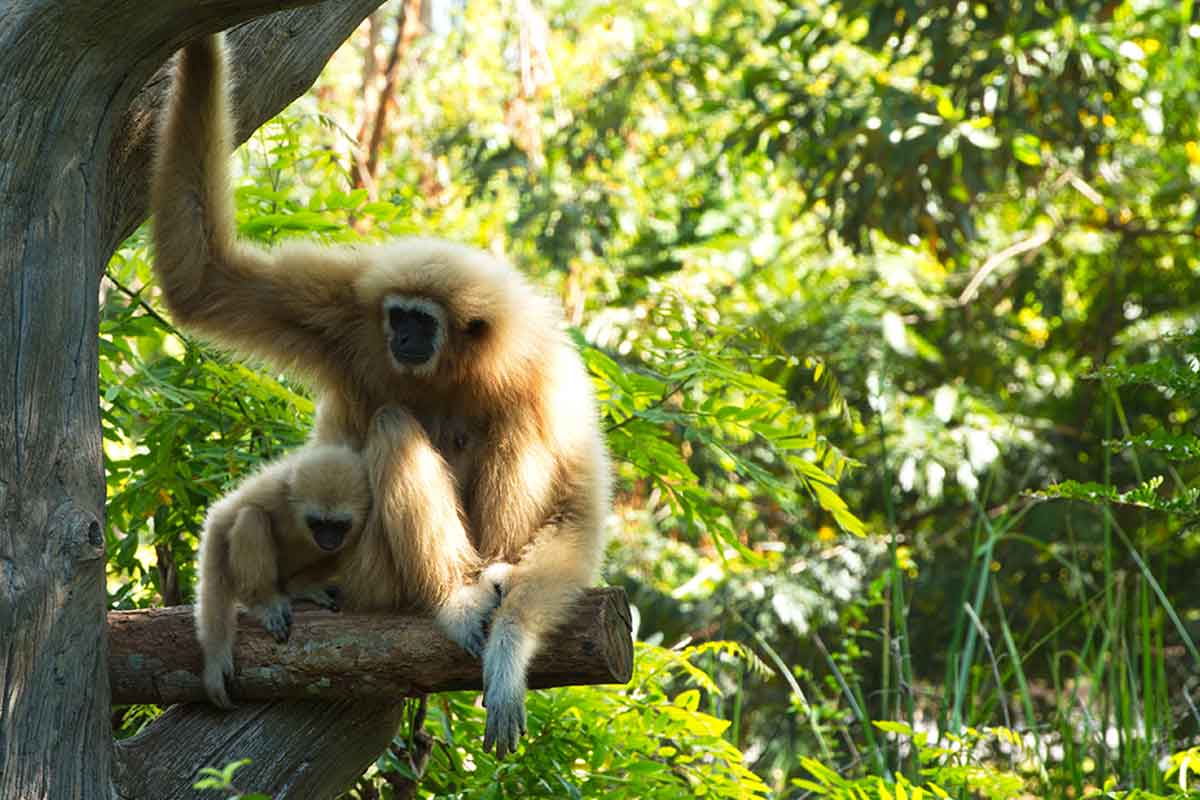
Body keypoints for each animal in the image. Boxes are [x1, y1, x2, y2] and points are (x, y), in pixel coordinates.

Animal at [195, 443, 371, 709]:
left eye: (339, 525)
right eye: (317, 523)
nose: (329, 540)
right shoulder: (275, 490)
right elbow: (220, 525)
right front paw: (215, 657)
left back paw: (298, 587)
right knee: (250, 515)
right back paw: (263, 601)